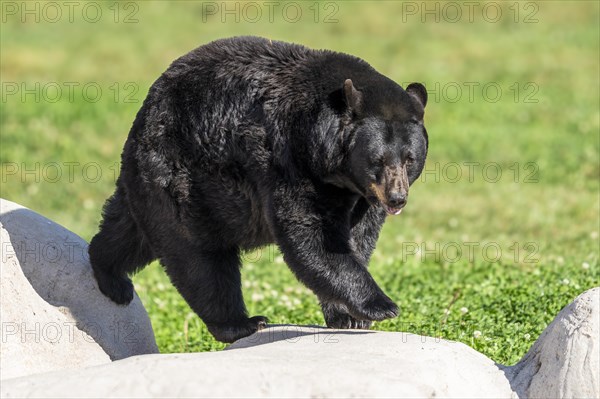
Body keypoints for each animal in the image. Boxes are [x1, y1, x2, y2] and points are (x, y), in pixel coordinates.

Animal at [88, 36, 426, 344]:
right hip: (182, 180)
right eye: (377, 159)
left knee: (130, 231)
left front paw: (348, 317)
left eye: (410, 159)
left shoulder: (359, 195)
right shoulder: (289, 160)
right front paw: (381, 304)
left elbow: (357, 237)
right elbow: (313, 236)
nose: (397, 198)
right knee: (200, 257)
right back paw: (241, 323)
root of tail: (144, 115)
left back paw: (111, 276)